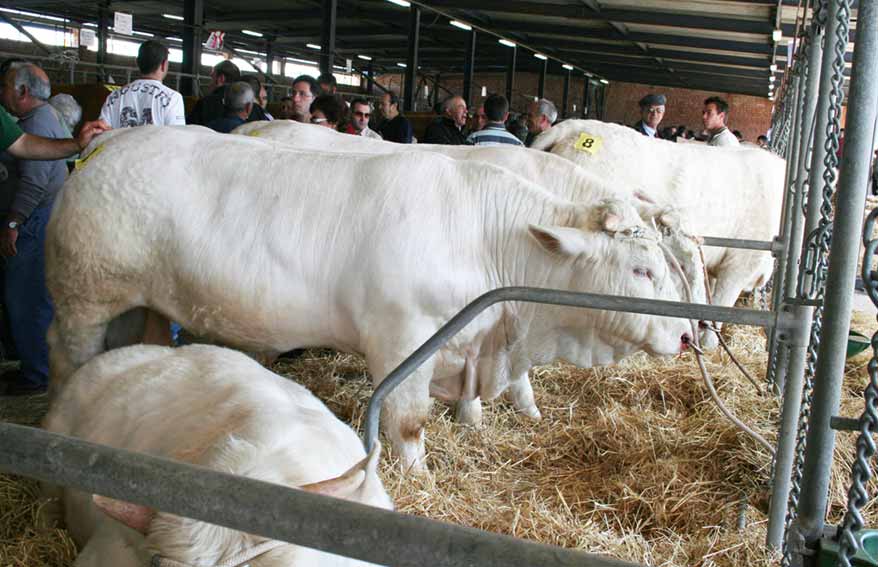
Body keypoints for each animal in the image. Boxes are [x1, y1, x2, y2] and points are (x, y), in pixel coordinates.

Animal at [46, 127, 696, 470]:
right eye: (643, 269)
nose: (690, 334)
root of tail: (112, 139)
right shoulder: (404, 336)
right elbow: (407, 419)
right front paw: (419, 474)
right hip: (84, 293)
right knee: (65, 351)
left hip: (146, 303)